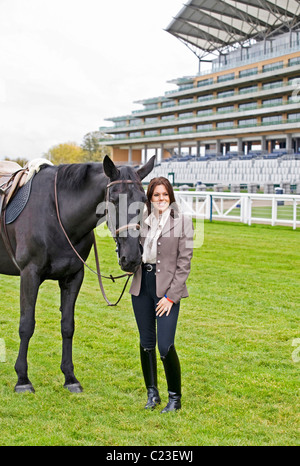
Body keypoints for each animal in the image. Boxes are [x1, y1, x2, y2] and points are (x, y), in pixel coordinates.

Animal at [0, 156, 155, 394]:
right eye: (113, 199)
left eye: (144, 200)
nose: (132, 257)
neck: (56, 214)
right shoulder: (29, 274)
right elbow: (26, 325)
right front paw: (23, 379)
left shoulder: (73, 277)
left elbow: (67, 326)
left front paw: (70, 377)